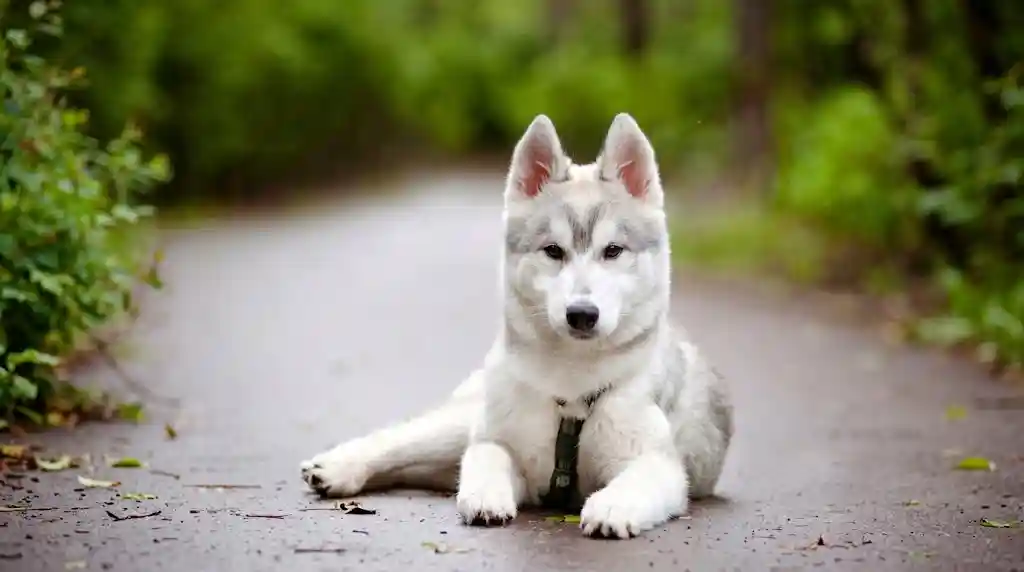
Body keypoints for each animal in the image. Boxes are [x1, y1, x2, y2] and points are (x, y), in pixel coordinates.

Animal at [300, 113, 733, 539]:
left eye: (613, 251)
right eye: (553, 251)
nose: (582, 313)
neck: (572, 385)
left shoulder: (658, 463)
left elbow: (636, 481)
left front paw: (613, 505)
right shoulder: (500, 444)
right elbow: (486, 459)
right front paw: (485, 496)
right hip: (464, 418)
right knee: (402, 440)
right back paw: (338, 467)